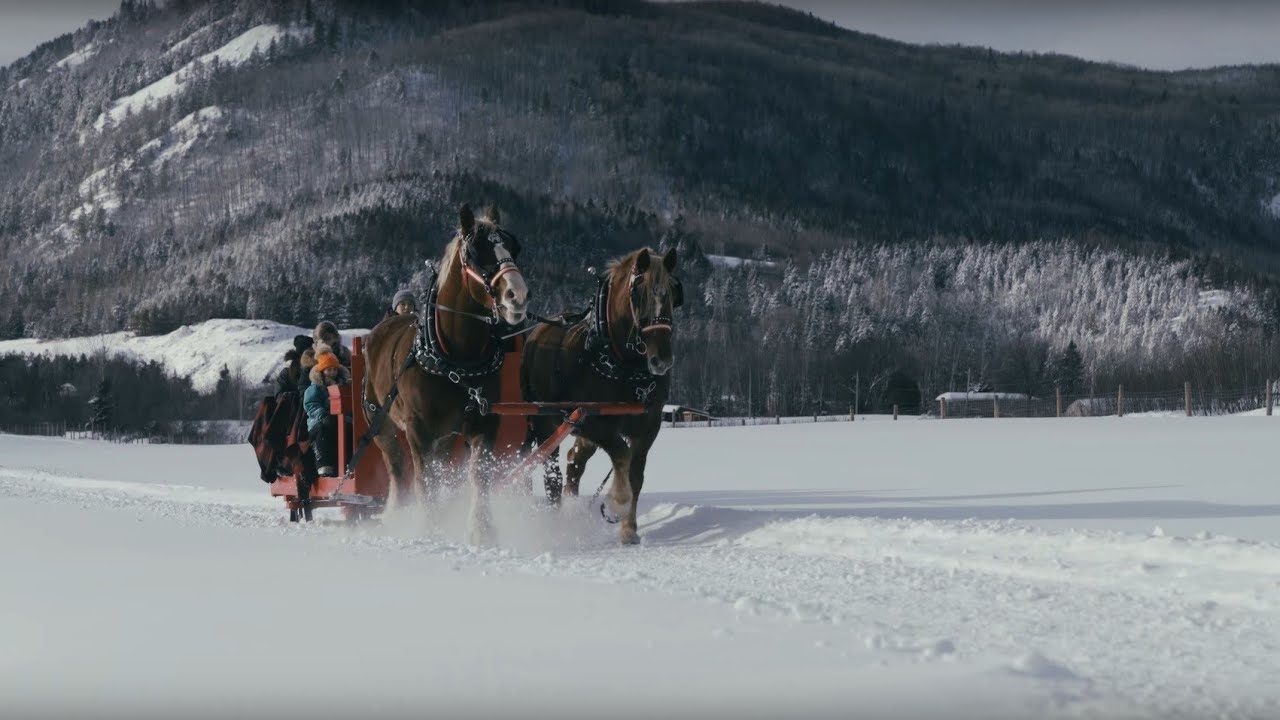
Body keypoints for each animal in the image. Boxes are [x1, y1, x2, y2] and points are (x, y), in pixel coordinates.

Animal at [361, 204, 529, 545]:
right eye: (476, 252)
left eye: (513, 247)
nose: (517, 295)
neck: (456, 357)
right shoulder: (418, 430)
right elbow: (425, 480)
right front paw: (430, 529)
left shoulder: (483, 422)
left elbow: (478, 474)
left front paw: (481, 529)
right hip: (380, 423)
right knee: (397, 466)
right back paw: (395, 515)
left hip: (446, 434)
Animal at [520, 247, 682, 544]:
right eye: (638, 294)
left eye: (672, 294)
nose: (661, 360)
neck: (622, 362)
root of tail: (538, 330)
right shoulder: (592, 420)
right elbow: (622, 455)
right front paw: (617, 503)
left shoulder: (649, 424)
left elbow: (636, 473)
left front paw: (629, 529)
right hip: (546, 421)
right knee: (550, 473)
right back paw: (553, 524)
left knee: (574, 463)